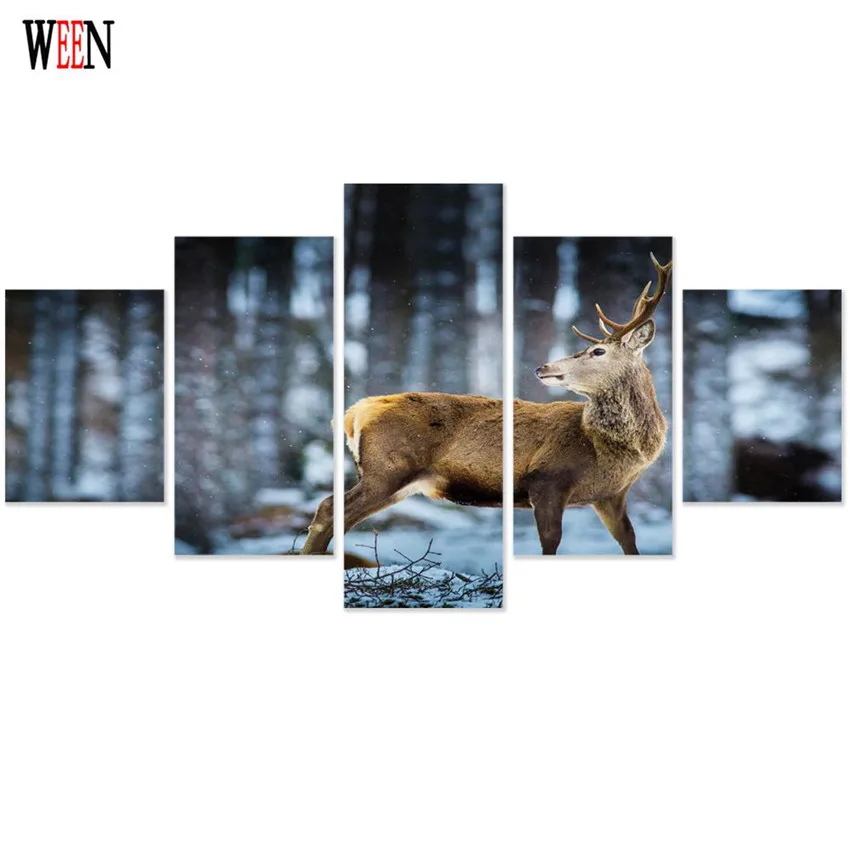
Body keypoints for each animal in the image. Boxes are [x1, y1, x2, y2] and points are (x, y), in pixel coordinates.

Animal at [301, 253, 670, 557]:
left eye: (598, 351)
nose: (543, 368)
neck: (605, 450)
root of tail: (354, 413)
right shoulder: (547, 479)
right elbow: (551, 542)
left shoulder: (611, 496)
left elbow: (630, 542)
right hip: (388, 468)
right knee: (328, 509)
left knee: (338, 516)